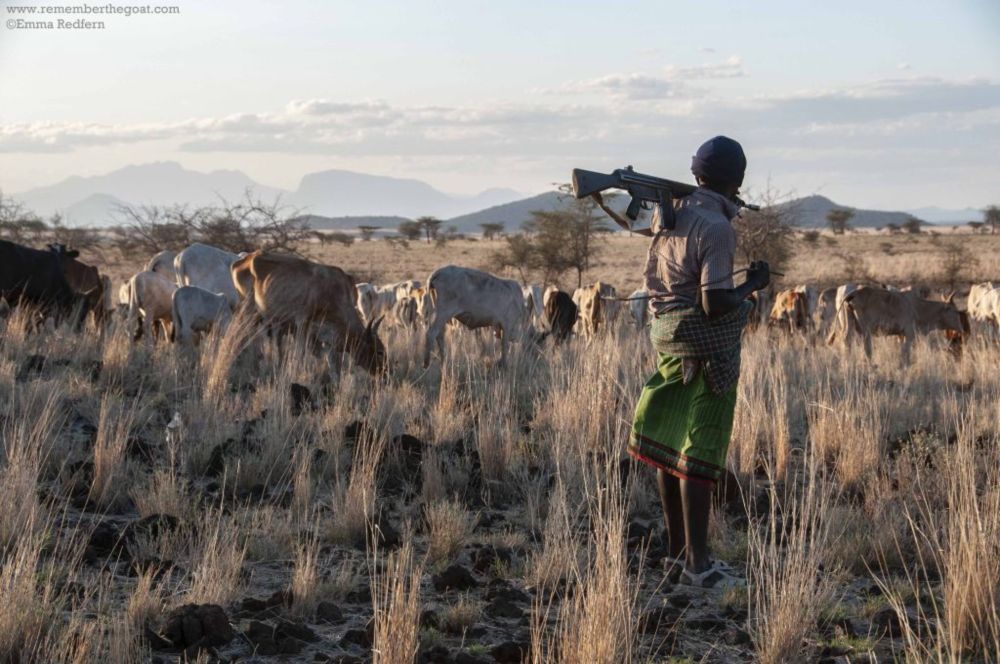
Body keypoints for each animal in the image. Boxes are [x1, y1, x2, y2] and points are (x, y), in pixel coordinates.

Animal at [240, 252, 384, 374]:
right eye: (380, 351)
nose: (385, 373)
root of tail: (249, 257)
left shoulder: (325, 337)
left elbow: (333, 363)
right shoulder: (303, 323)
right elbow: (300, 353)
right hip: (249, 313)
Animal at [836, 284, 968, 360]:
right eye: (955, 311)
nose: (962, 329)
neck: (918, 307)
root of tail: (854, 293)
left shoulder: (900, 335)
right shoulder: (909, 335)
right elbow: (906, 354)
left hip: (849, 325)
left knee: (846, 341)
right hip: (866, 331)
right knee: (867, 348)